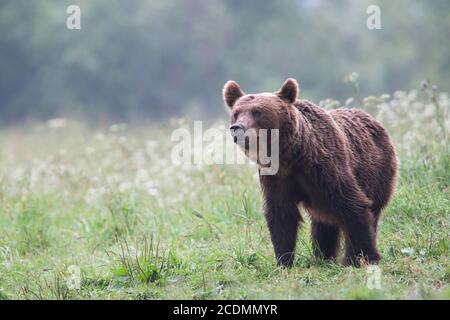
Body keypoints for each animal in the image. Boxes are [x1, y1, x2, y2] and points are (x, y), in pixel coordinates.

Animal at [221, 78, 398, 268]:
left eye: (257, 111)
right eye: (236, 112)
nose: (237, 128)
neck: (291, 156)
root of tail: (373, 119)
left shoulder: (325, 169)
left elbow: (353, 206)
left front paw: (365, 257)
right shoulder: (276, 178)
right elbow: (281, 215)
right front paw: (284, 261)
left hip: (377, 174)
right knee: (324, 224)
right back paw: (323, 256)